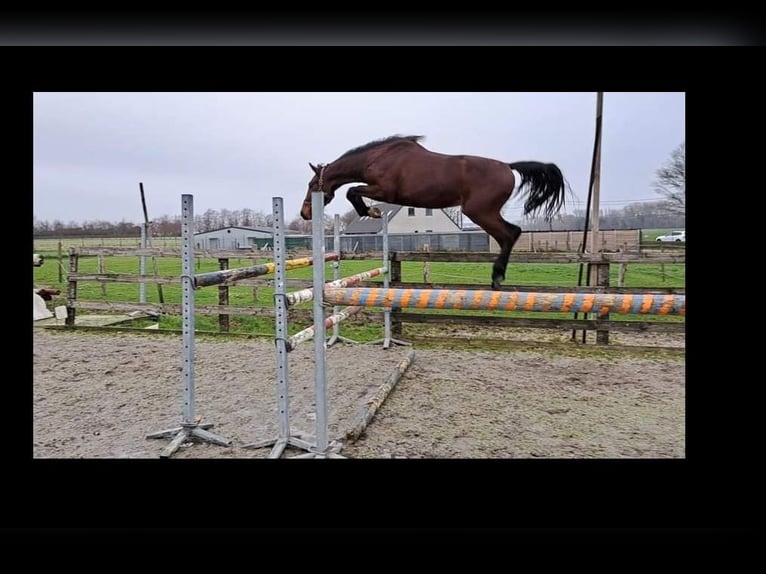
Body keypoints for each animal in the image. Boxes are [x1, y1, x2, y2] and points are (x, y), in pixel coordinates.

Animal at [304, 133, 568, 290]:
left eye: (311, 184)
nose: (305, 213)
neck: (378, 157)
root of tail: (508, 167)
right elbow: (353, 191)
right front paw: (372, 211)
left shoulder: (384, 191)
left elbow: (352, 192)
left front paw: (372, 211)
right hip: (484, 212)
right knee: (513, 232)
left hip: (479, 212)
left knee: (510, 234)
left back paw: (497, 277)